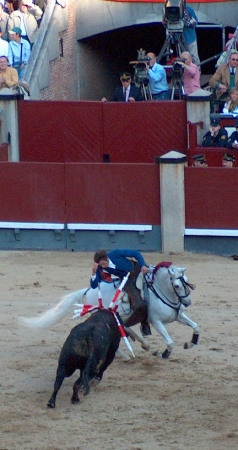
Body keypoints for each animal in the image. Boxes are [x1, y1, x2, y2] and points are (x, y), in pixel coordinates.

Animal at [20, 264, 199, 358]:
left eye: (187, 281)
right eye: (176, 285)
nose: (187, 302)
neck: (160, 291)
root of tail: (87, 290)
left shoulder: (179, 315)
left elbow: (196, 326)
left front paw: (190, 343)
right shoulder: (156, 322)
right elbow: (170, 342)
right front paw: (163, 354)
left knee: (124, 328)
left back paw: (144, 345)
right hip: (104, 317)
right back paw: (126, 355)